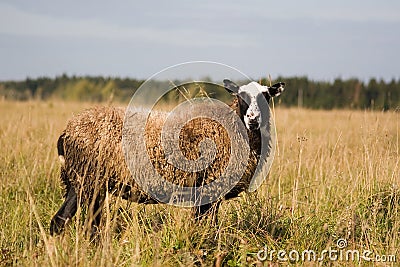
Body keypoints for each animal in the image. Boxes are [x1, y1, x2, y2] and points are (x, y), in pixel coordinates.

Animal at [50, 79, 284, 237]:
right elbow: (205, 227)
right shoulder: (209, 189)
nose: (253, 119)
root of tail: (68, 131)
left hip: (81, 182)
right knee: (87, 226)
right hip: (89, 181)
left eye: (266, 96)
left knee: (60, 221)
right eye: (241, 96)